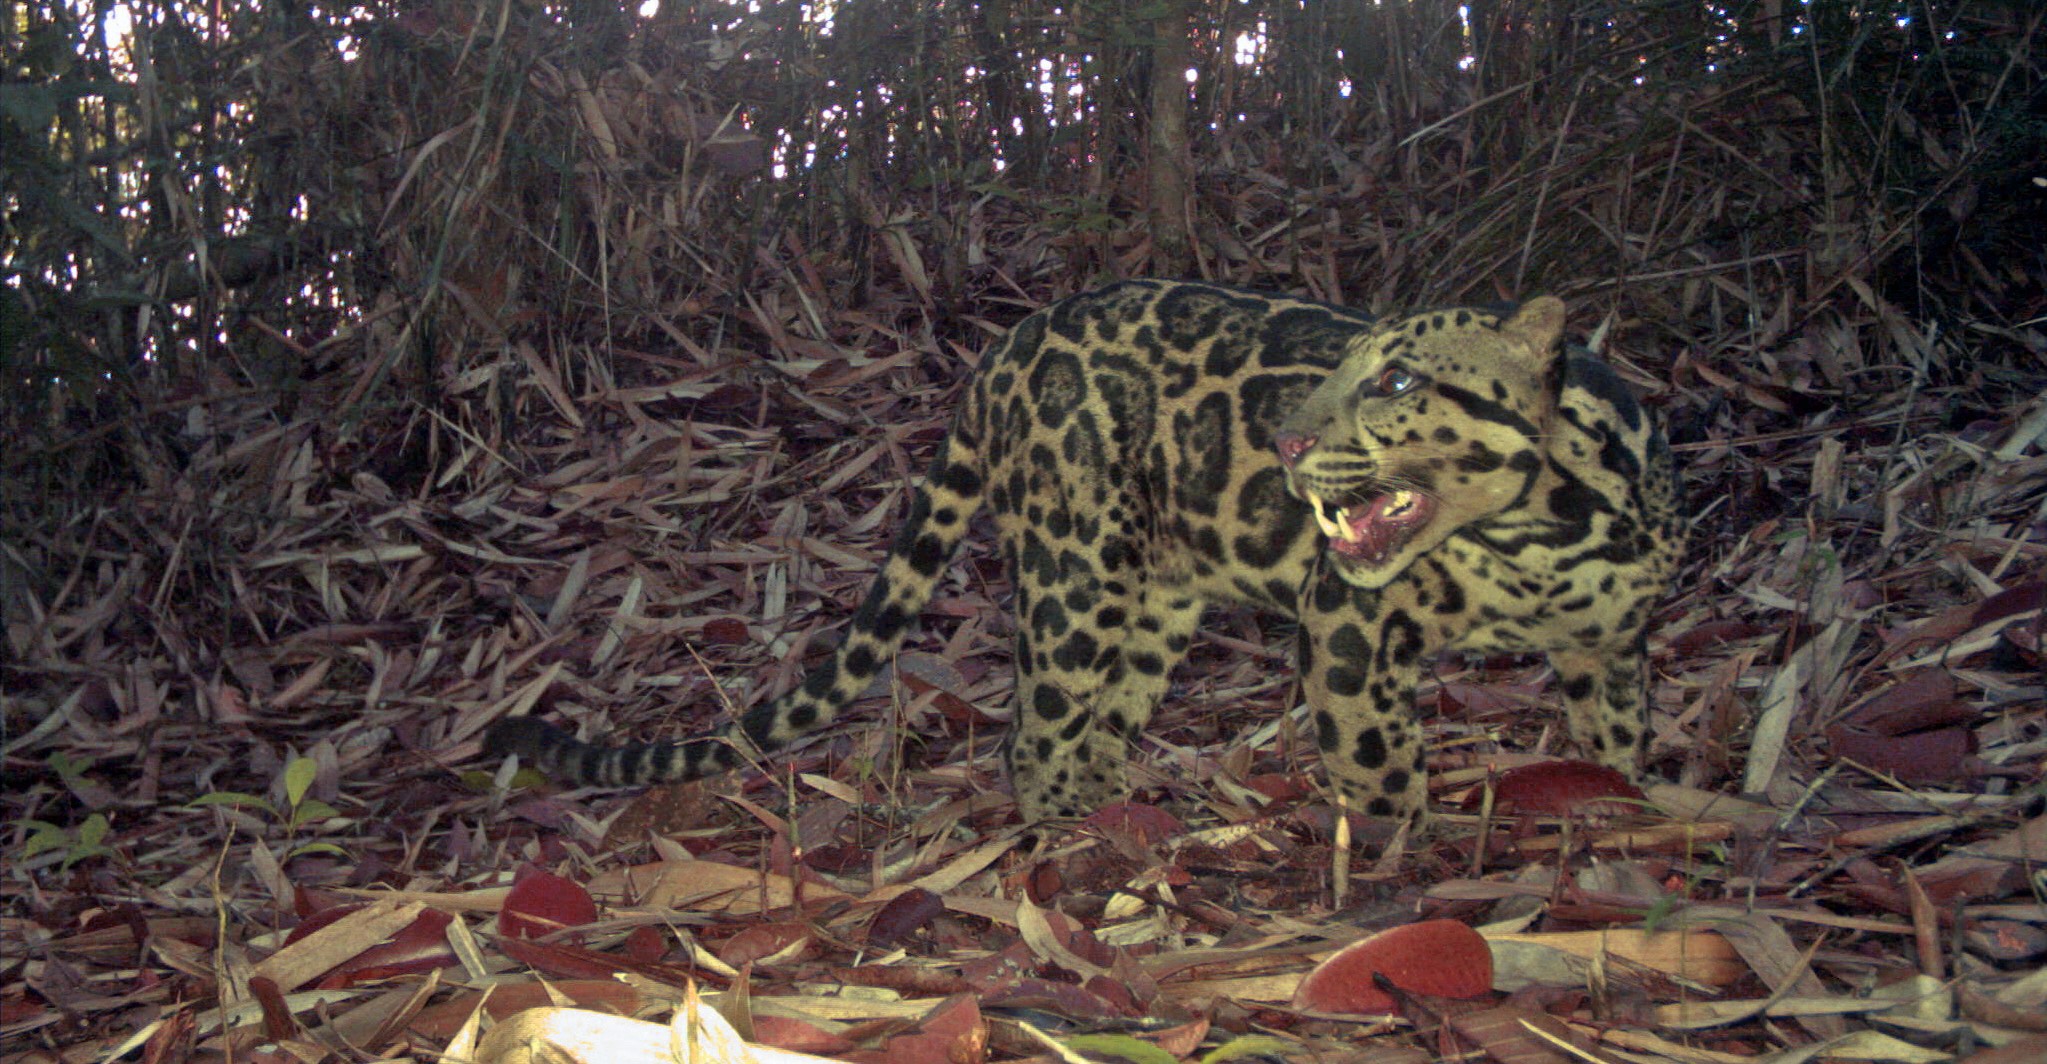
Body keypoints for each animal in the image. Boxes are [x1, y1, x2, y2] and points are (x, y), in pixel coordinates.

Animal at [486, 280, 1684, 824]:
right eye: (1346, 370)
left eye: (1393, 381)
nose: (1289, 442)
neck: (1540, 533)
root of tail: (1000, 354)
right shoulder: (1347, 622)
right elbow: (1376, 758)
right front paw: (1402, 860)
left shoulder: (1613, 643)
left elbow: (1619, 738)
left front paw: (1621, 807)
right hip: (1074, 572)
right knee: (1033, 732)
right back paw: (1065, 834)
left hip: (1151, 598)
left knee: (1105, 714)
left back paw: (1124, 813)